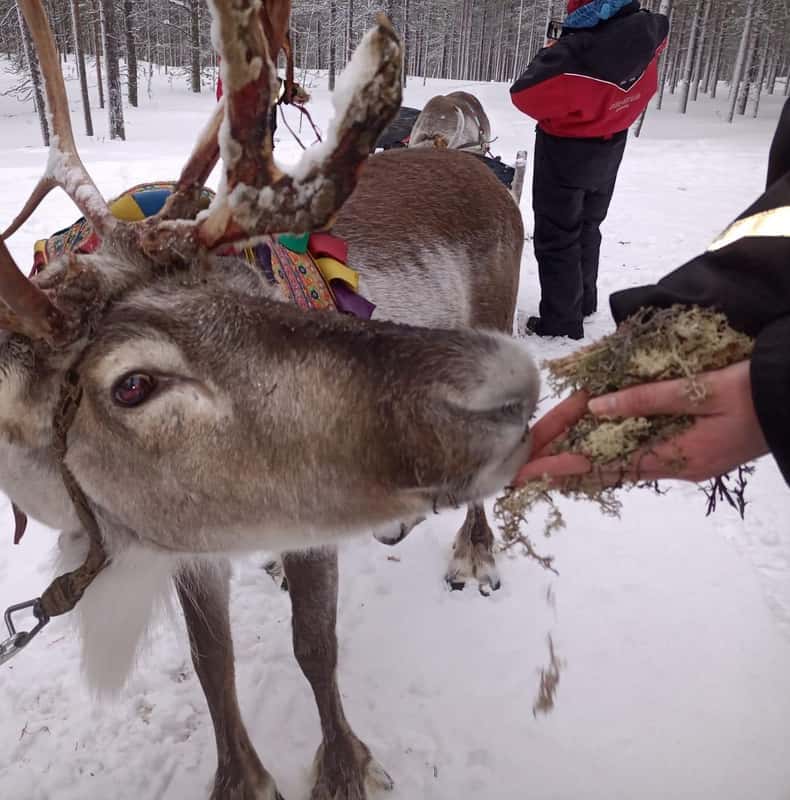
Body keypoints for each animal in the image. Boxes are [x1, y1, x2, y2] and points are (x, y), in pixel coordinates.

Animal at [0, 2, 538, 799]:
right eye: (132, 384)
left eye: (254, 290)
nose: (502, 385)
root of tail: (468, 162)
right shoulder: (189, 537)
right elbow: (210, 661)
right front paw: (243, 780)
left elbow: (314, 645)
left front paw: (345, 770)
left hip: (495, 315)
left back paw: (472, 553)